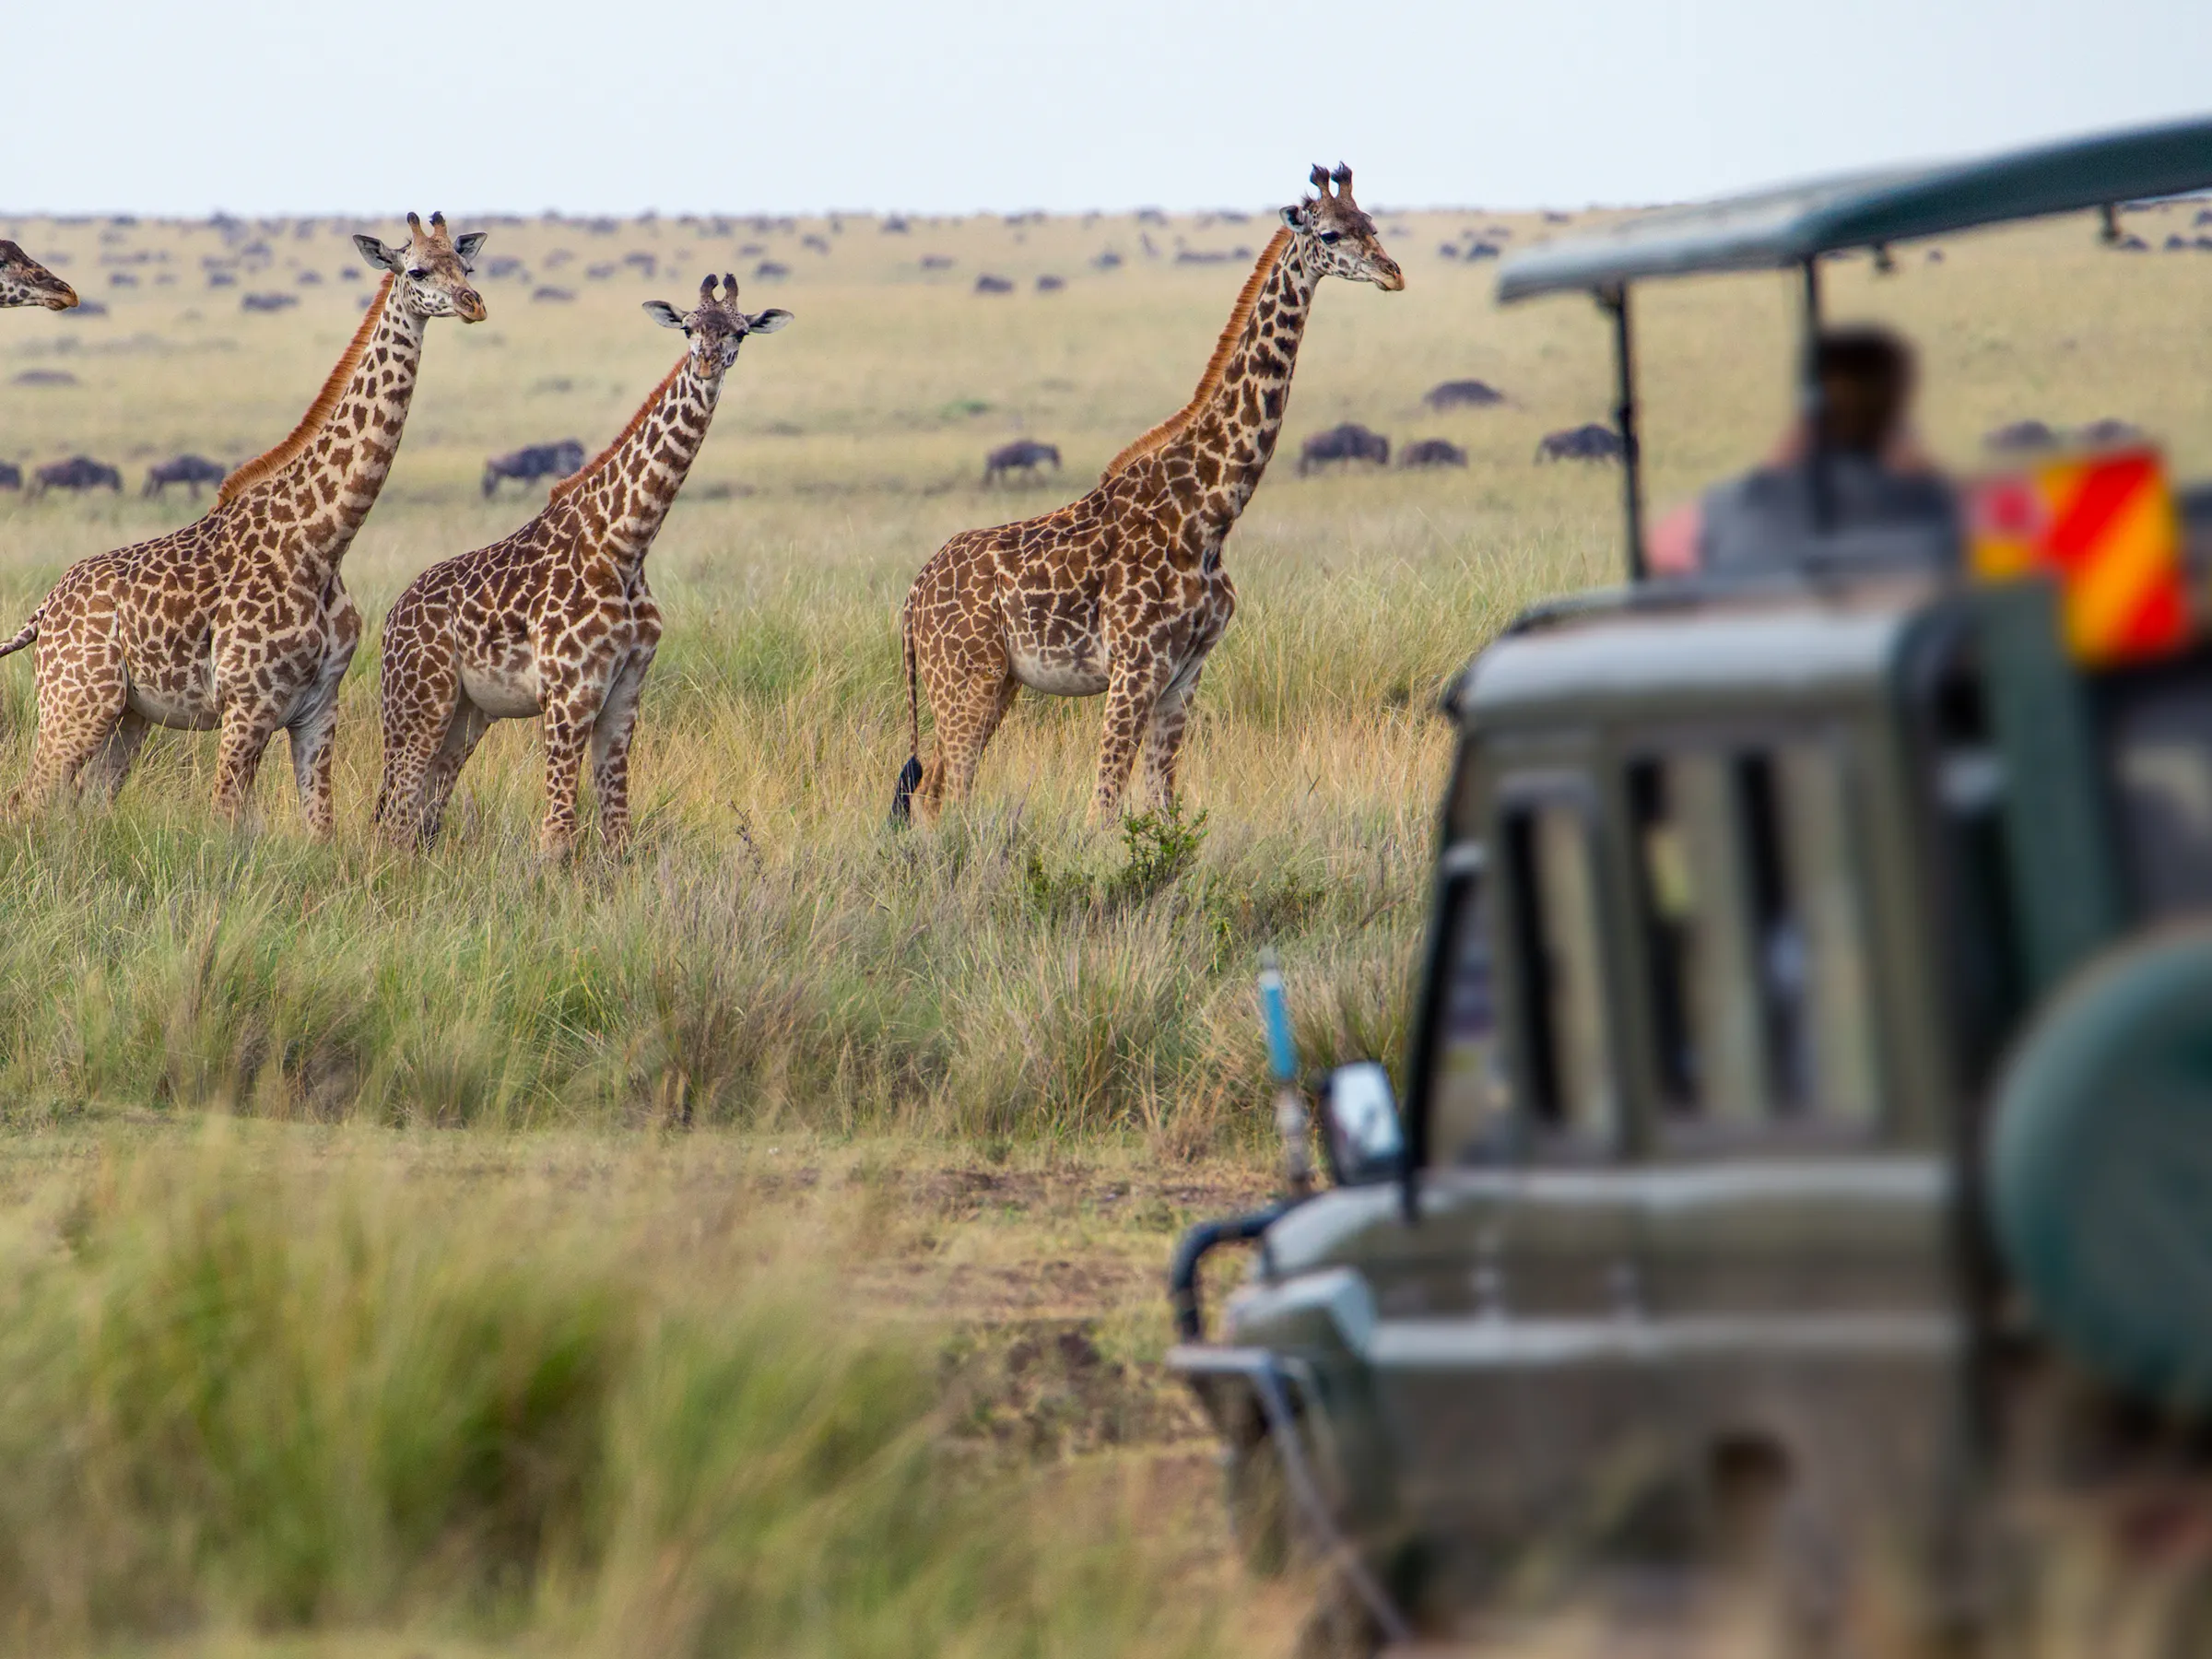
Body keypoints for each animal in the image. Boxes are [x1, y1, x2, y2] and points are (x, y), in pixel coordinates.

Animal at [0, 213, 485, 830]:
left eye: (466, 266)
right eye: (418, 270)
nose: (474, 304)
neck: (324, 540)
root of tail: (45, 610)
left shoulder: (318, 708)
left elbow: (319, 827)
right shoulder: (248, 704)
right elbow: (224, 819)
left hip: (127, 714)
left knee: (86, 800)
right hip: (76, 700)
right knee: (28, 798)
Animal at [373, 275, 790, 858]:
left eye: (740, 332)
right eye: (688, 327)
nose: (708, 362)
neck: (626, 543)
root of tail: (393, 618)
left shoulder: (625, 694)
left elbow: (617, 830)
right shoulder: (569, 693)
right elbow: (557, 835)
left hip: (465, 713)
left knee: (420, 816)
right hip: (417, 702)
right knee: (393, 815)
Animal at [891, 165, 1402, 826]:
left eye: (1372, 224)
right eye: (1333, 234)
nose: (1393, 272)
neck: (1210, 513)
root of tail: (912, 598)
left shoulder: (1185, 674)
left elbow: (1162, 805)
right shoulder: (1135, 668)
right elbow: (1103, 808)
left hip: (995, 680)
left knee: (936, 790)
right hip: (964, 677)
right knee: (947, 791)